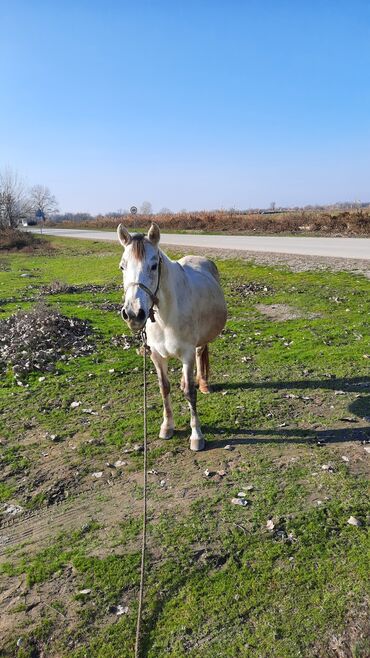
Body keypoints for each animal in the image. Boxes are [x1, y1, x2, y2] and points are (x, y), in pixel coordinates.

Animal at [117, 223, 227, 448]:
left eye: (153, 266)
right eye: (122, 267)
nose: (133, 314)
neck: (165, 319)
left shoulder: (186, 354)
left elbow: (190, 393)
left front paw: (196, 436)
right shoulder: (156, 356)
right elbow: (164, 388)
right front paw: (167, 427)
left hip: (200, 342)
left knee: (200, 353)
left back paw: (203, 383)